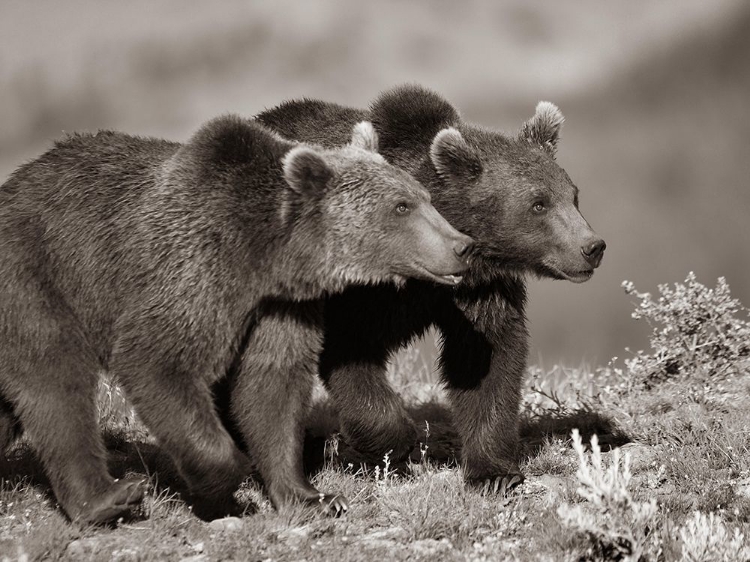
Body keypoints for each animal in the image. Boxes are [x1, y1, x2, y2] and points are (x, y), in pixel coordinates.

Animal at [0, 116, 472, 524]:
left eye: (425, 197)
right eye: (401, 206)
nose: (462, 245)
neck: (266, 255)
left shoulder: (280, 308)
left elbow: (272, 388)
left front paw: (312, 497)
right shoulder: (194, 268)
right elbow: (157, 360)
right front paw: (222, 485)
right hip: (38, 276)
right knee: (56, 379)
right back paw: (107, 497)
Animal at [256, 84, 608, 490]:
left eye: (573, 195)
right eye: (538, 203)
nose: (592, 247)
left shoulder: (476, 291)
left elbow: (486, 358)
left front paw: (494, 471)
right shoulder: (363, 290)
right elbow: (350, 347)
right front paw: (392, 443)